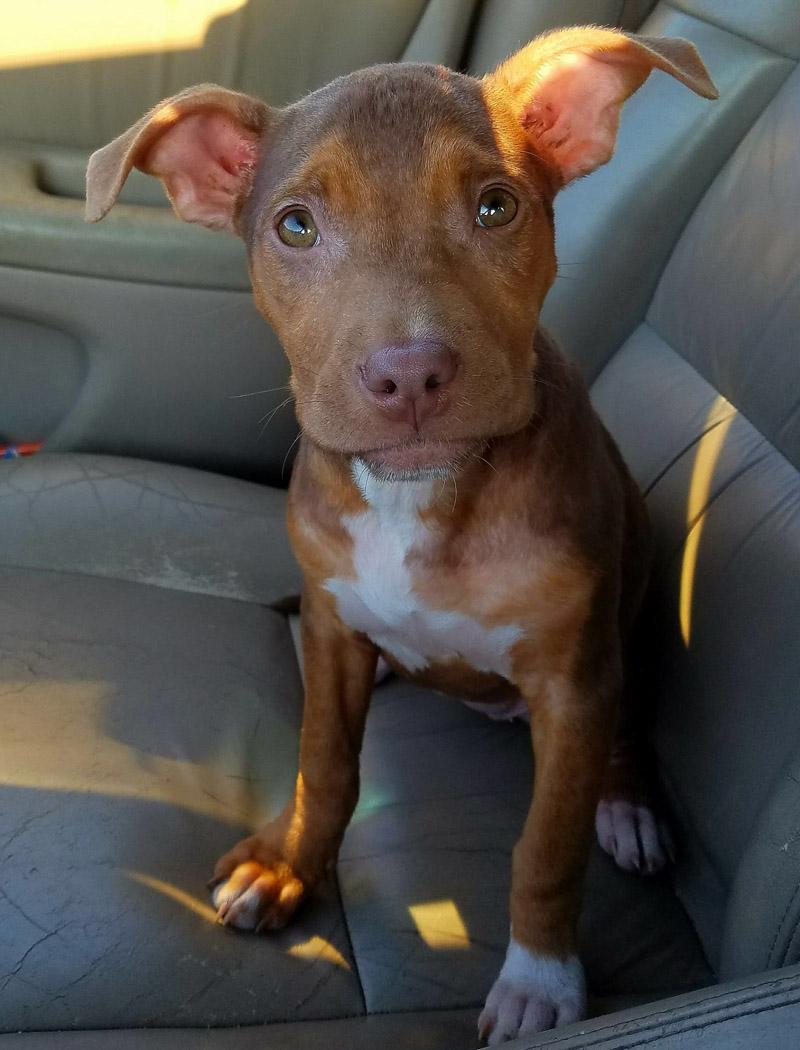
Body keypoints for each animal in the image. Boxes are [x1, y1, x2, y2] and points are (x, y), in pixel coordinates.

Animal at [88, 30, 718, 1041]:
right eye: (295, 227)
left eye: (496, 206)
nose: (410, 375)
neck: (417, 500)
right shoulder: (331, 623)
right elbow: (325, 764)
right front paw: (286, 866)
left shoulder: (572, 677)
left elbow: (547, 845)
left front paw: (542, 980)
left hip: (631, 625)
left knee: (624, 736)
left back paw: (627, 810)